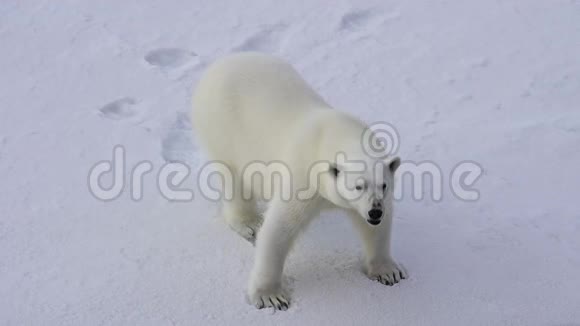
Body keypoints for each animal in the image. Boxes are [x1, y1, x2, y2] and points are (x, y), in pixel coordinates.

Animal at [193, 52, 406, 310]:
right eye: (358, 186)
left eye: (384, 185)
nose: (375, 211)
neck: (332, 136)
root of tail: (218, 65)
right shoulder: (303, 175)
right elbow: (279, 228)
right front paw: (270, 295)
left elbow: (375, 230)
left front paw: (388, 272)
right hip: (221, 127)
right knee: (234, 177)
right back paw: (249, 223)